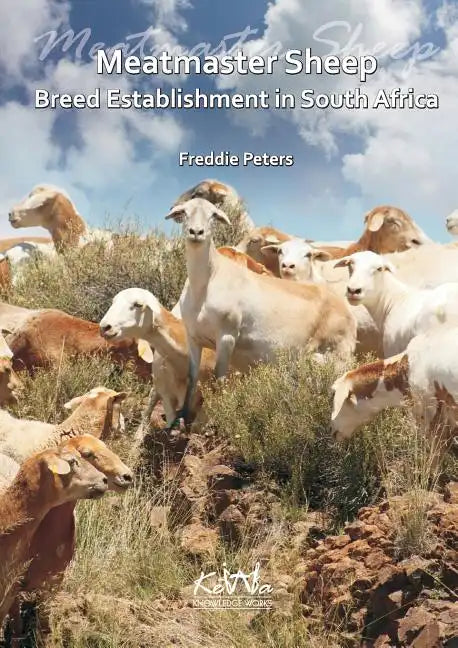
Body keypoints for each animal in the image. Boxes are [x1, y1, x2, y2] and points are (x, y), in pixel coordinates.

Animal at [166, 198, 356, 422]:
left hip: (338, 356)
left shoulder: (227, 336)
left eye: (213, 215)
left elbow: (219, 379)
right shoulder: (193, 337)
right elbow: (192, 377)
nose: (196, 232)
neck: (206, 283)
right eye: (184, 212)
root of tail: (347, 310)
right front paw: (182, 418)